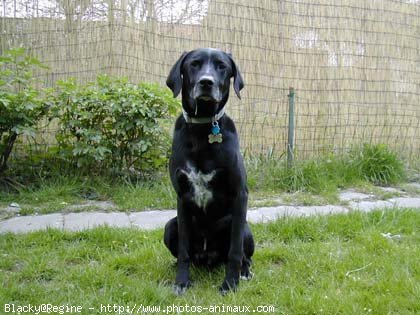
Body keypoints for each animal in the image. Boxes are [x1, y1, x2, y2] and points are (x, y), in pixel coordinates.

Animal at [163, 48, 254, 296]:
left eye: (222, 66)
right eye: (194, 64)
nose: (206, 82)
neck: (203, 129)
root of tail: (209, 258)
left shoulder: (240, 195)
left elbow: (235, 251)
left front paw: (230, 284)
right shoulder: (182, 197)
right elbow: (184, 250)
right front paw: (181, 282)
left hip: (245, 228)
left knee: (244, 255)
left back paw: (244, 272)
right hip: (170, 226)